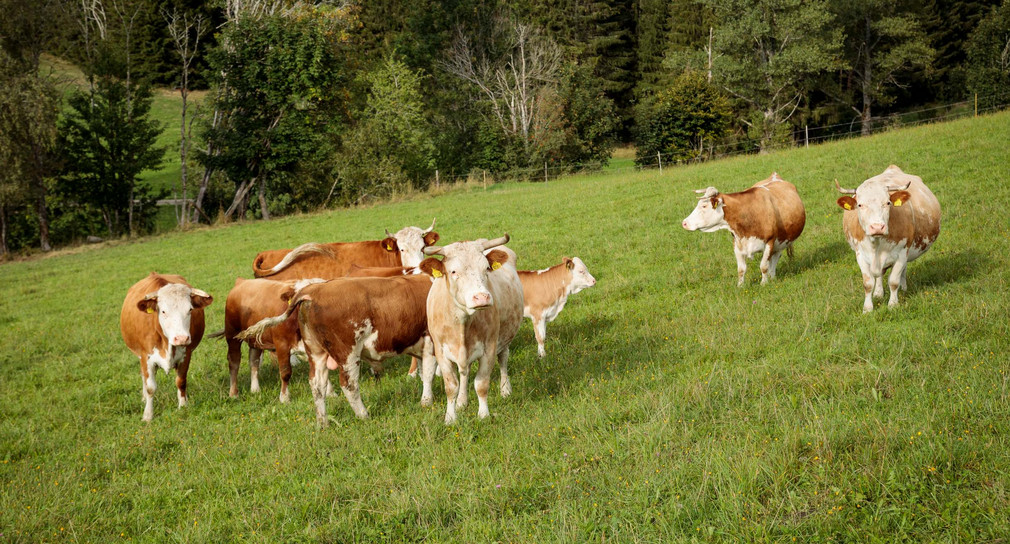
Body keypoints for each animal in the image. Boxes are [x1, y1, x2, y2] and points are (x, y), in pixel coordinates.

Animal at [120, 273, 213, 421]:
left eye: (190, 309)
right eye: (163, 311)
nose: (181, 338)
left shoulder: (186, 355)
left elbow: (181, 382)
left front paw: (183, 406)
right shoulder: (146, 358)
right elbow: (150, 387)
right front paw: (148, 415)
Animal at [236, 275, 435, 426]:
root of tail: (312, 291)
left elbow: (424, 371)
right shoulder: (431, 344)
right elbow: (429, 374)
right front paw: (427, 402)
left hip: (316, 352)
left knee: (317, 385)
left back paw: (322, 422)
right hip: (348, 353)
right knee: (349, 385)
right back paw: (363, 415)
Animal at [418, 235, 524, 424]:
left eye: (486, 268)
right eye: (453, 271)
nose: (482, 297)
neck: (462, 322)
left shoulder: (489, 348)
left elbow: (481, 384)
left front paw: (484, 414)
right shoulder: (441, 351)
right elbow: (451, 386)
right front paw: (451, 417)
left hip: (504, 338)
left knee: (503, 360)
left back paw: (505, 389)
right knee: (464, 372)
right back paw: (462, 401)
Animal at [835, 165, 941, 312]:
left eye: (888, 203)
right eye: (860, 205)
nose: (877, 227)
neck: (876, 244)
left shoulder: (902, 252)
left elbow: (893, 281)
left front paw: (893, 304)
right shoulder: (860, 255)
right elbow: (868, 283)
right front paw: (867, 308)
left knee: (902, 270)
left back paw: (903, 288)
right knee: (880, 274)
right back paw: (879, 293)